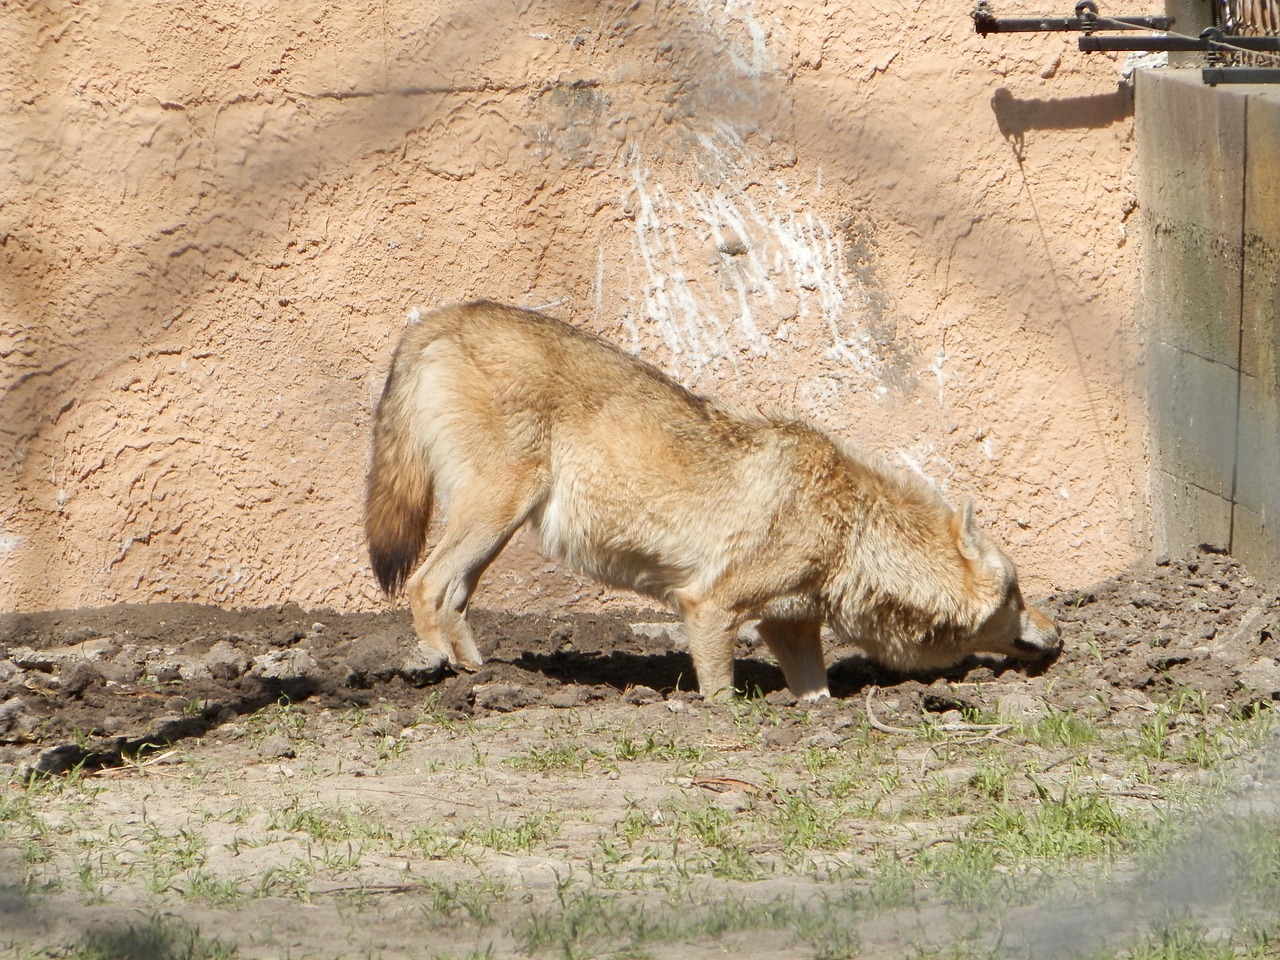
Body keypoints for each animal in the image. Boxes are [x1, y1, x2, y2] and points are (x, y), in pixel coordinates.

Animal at [368, 304, 1059, 701]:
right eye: (1018, 593)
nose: (1059, 633)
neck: (850, 528)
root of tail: (438, 318)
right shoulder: (707, 605)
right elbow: (720, 694)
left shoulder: (790, 625)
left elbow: (816, 696)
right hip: (496, 513)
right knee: (424, 586)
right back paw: (444, 673)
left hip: (494, 530)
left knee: (453, 596)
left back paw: (484, 676)